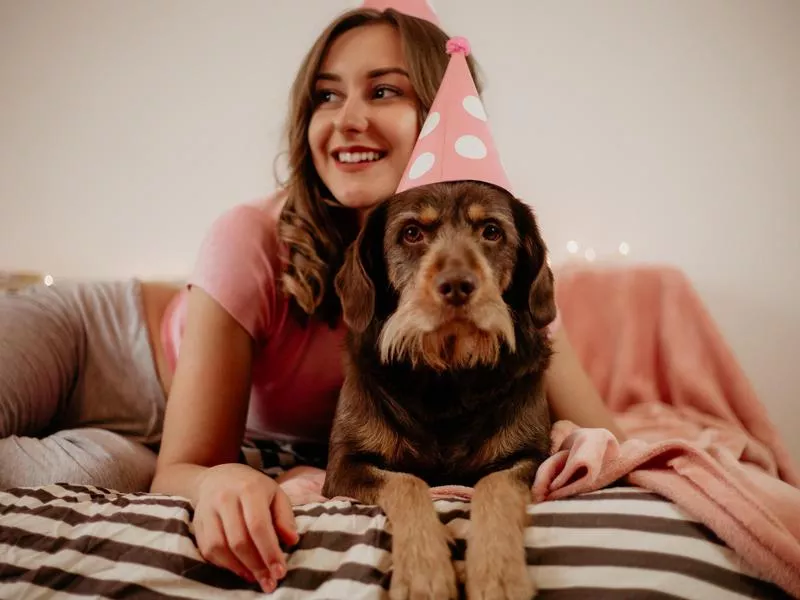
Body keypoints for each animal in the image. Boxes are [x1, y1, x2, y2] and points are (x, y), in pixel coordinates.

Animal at [318, 180, 556, 600]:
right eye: (412, 233)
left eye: (491, 231)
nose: (458, 286)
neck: (447, 375)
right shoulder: (345, 465)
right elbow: (406, 483)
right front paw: (423, 571)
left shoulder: (532, 457)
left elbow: (496, 486)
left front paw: (498, 573)